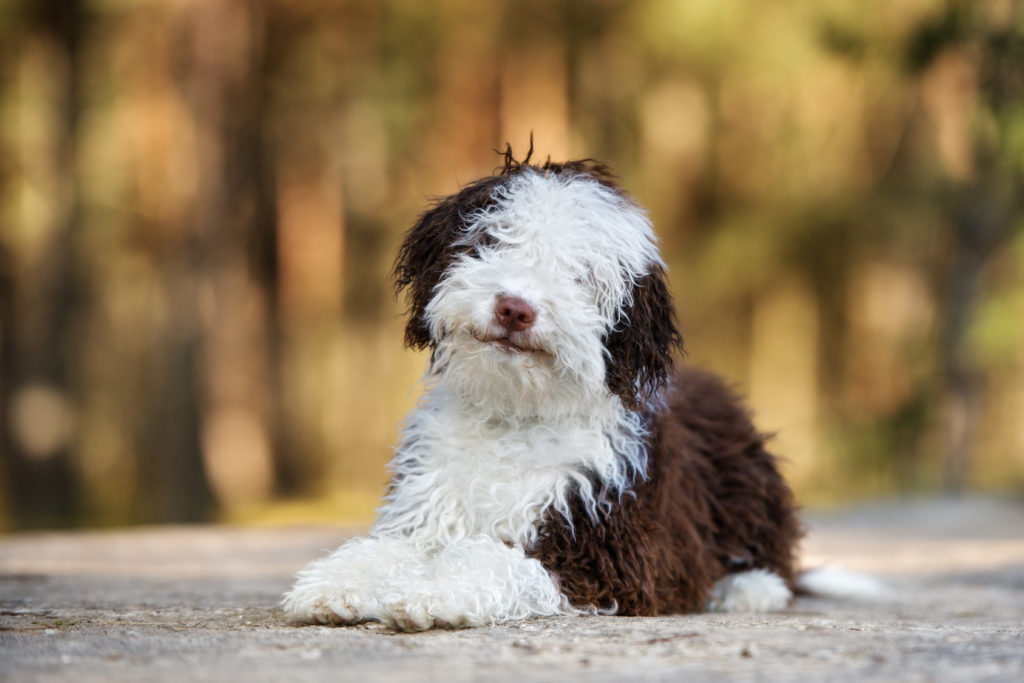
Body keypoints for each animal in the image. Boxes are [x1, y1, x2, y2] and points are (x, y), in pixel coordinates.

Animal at [280, 149, 806, 630]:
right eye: (492, 240)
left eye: (581, 275)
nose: (515, 308)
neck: (515, 415)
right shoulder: (425, 506)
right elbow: (387, 548)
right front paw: (338, 582)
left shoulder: (612, 556)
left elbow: (496, 559)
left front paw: (433, 592)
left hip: (746, 481)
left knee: (775, 561)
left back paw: (746, 590)